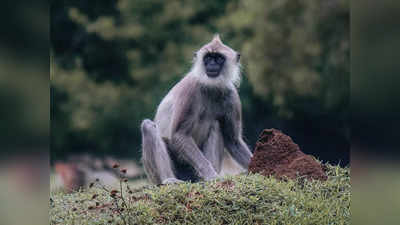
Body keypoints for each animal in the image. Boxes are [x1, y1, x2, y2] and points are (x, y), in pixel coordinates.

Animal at [142, 34, 252, 184]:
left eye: (218, 58)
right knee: (147, 126)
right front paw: (210, 175)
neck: (211, 87)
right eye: (208, 58)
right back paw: (168, 179)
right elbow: (180, 134)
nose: (212, 64)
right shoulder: (190, 89)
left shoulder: (232, 96)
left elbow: (233, 141)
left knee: (216, 125)